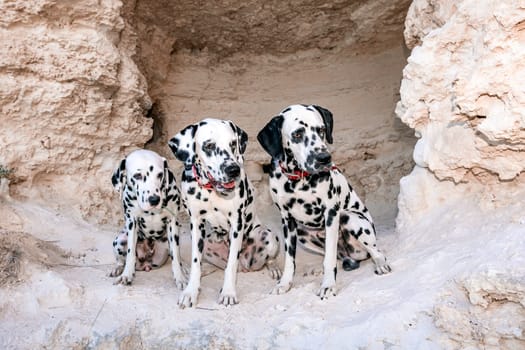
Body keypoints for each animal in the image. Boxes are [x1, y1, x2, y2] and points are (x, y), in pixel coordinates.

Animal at [108, 149, 186, 288]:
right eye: (138, 175)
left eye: (160, 175)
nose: (154, 199)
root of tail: (143, 265)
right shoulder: (132, 222)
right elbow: (130, 254)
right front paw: (126, 275)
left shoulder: (172, 222)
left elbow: (176, 257)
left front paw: (180, 277)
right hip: (119, 240)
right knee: (121, 261)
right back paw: (118, 269)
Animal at [170, 119, 280, 308]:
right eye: (209, 146)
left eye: (233, 144)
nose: (233, 170)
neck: (212, 190)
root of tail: (245, 266)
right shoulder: (196, 224)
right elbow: (196, 262)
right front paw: (191, 291)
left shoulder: (237, 224)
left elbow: (231, 265)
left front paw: (228, 293)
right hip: (206, 241)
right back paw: (205, 269)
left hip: (267, 235)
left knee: (267, 258)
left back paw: (274, 268)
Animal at [256, 103, 390, 298]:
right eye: (297, 134)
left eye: (321, 130)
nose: (324, 158)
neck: (298, 180)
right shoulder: (287, 221)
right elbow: (290, 260)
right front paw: (285, 283)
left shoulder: (331, 214)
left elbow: (329, 259)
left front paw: (328, 285)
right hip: (303, 234)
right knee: (337, 256)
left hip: (352, 219)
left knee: (374, 251)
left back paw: (380, 263)